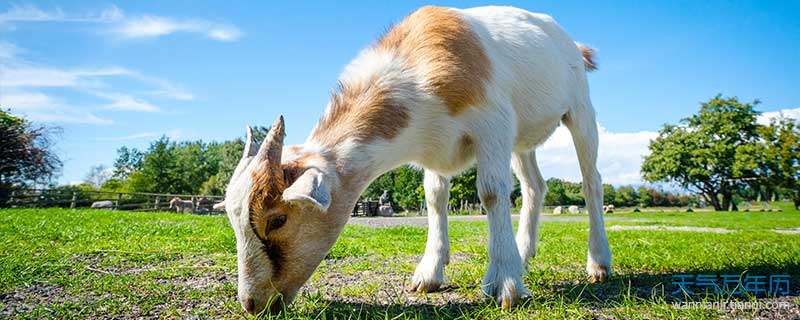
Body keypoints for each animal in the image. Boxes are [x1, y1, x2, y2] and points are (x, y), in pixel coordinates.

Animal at [216, 6, 608, 314]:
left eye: (278, 219)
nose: (251, 303)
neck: (416, 69)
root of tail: (572, 44)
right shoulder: (434, 148)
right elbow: (435, 197)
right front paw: (429, 273)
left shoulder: (493, 123)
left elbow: (492, 192)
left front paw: (504, 283)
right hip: (523, 141)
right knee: (534, 186)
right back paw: (524, 254)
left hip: (580, 110)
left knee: (591, 181)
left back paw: (598, 263)